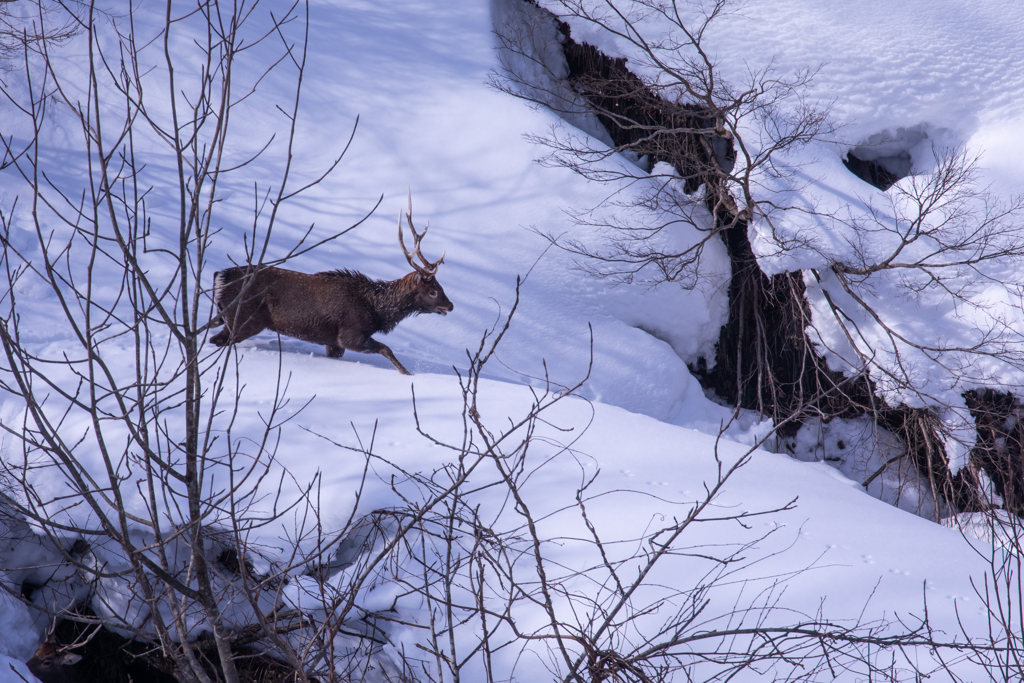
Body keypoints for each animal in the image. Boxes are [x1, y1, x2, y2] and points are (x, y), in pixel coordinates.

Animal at [209, 191, 454, 374]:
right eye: (433, 291)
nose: (450, 305)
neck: (377, 311)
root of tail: (218, 277)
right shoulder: (349, 336)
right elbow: (387, 349)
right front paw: (409, 374)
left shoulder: (333, 343)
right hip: (245, 319)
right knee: (217, 340)